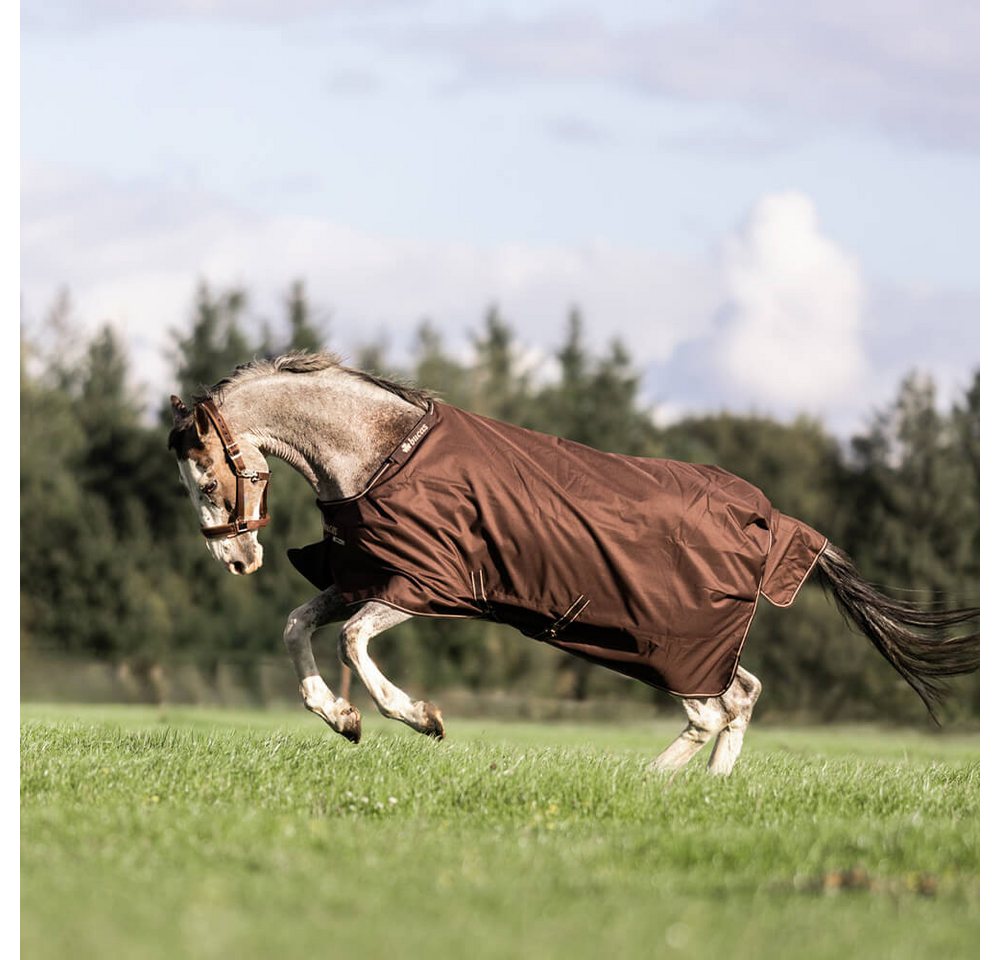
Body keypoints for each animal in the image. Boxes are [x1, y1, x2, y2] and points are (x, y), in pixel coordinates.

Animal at [167, 352, 979, 775]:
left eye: (205, 479)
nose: (237, 559)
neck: (380, 452)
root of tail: (772, 520)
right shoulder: (360, 577)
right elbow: (295, 627)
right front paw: (341, 720)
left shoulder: (423, 585)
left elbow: (350, 642)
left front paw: (421, 718)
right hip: (688, 645)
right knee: (742, 695)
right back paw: (709, 791)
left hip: (667, 645)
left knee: (712, 709)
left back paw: (650, 786)